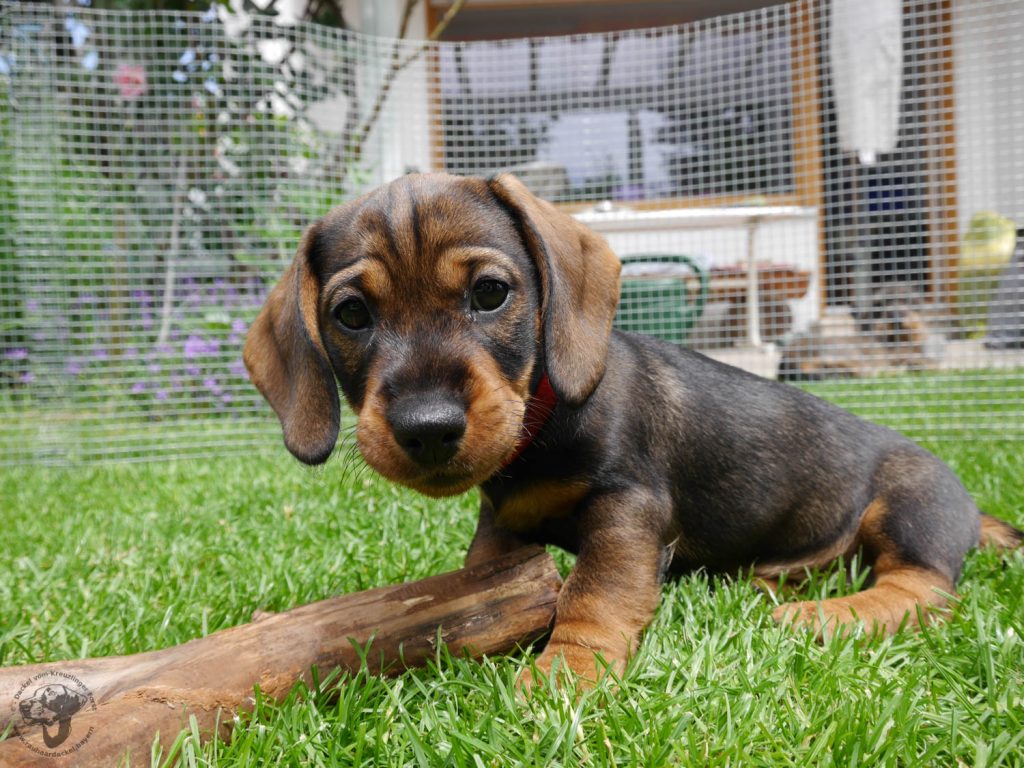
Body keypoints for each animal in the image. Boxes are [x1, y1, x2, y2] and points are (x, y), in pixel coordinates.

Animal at [243, 173, 1019, 684]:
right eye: (351, 315)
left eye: (490, 293)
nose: (426, 428)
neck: (541, 421)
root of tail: (971, 507)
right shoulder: (502, 526)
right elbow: (483, 574)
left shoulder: (628, 507)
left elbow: (595, 590)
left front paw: (565, 674)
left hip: (910, 505)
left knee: (920, 588)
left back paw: (823, 617)